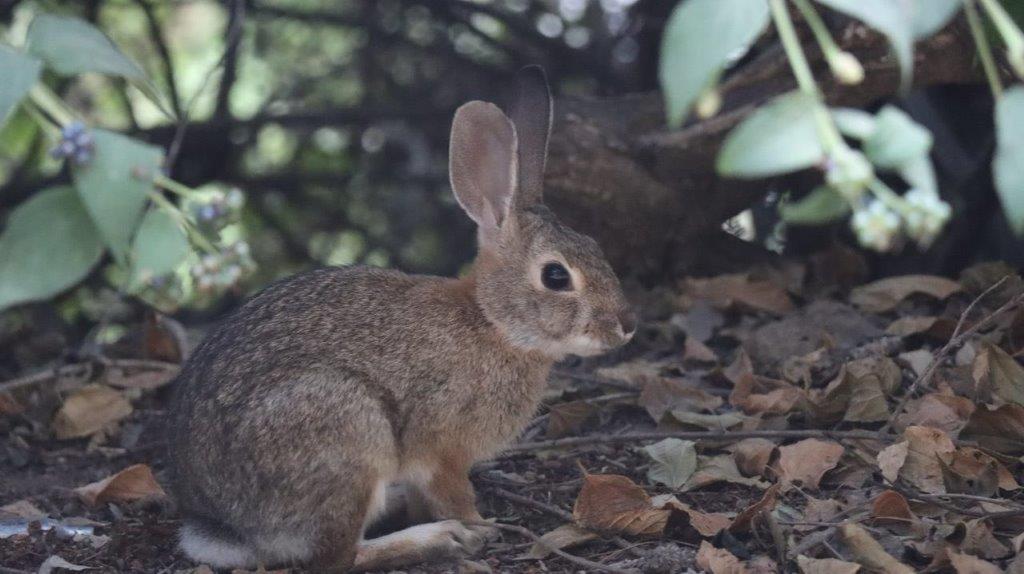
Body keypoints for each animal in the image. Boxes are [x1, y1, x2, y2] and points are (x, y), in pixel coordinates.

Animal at [167, 64, 634, 568]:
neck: (493, 323)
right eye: (555, 276)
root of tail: (231, 530)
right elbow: (454, 493)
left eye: (594, 246)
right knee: (339, 558)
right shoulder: (442, 448)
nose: (626, 326)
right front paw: (480, 527)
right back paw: (439, 539)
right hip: (348, 432)